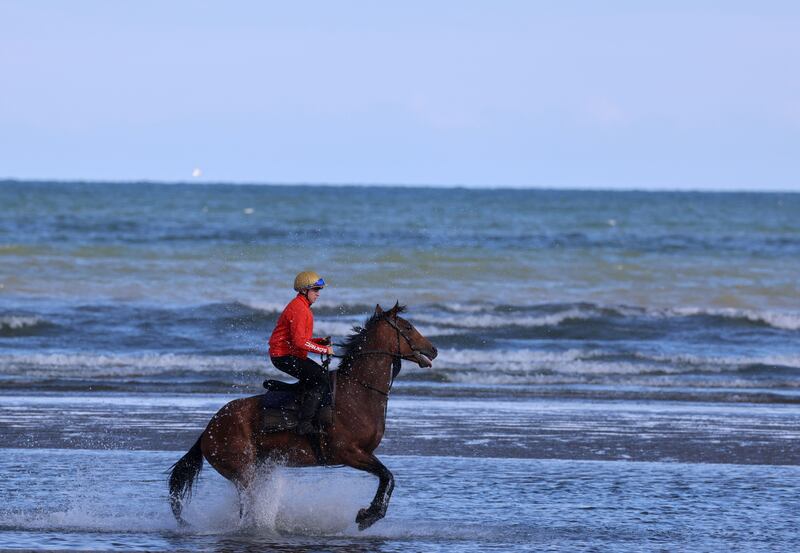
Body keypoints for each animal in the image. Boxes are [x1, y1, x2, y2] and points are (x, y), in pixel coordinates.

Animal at [167, 302, 438, 532]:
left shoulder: (363, 454)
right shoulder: (349, 452)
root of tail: (209, 429)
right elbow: (387, 476)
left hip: (260, 468)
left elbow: (386, 477)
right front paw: (368, 515)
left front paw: (369, 514)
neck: (358, 391)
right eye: (408, 327)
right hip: (243, 471)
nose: (434, 350)